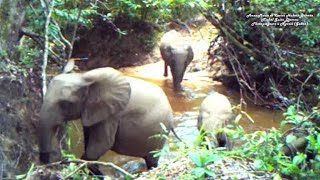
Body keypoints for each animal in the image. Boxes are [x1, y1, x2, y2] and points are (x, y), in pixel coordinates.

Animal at [38, 67, 176, 170]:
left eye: (65, 103)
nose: (46, 162)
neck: (82, 78)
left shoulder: (112, 115)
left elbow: (102, 144)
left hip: (160, 132)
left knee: (152, 160)